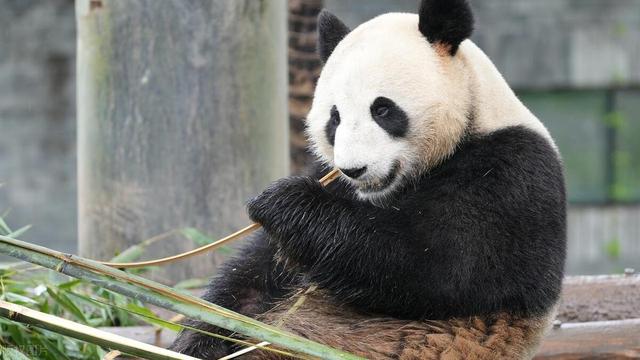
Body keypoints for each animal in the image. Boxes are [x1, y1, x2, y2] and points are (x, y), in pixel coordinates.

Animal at [169, 1, 564, 358]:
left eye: (383, 109)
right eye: (334, 117)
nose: (353, 169)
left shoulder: (511, 176)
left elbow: (430, 264)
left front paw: (282, 201)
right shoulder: (328, 178)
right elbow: (252, 277)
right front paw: (197, 338)